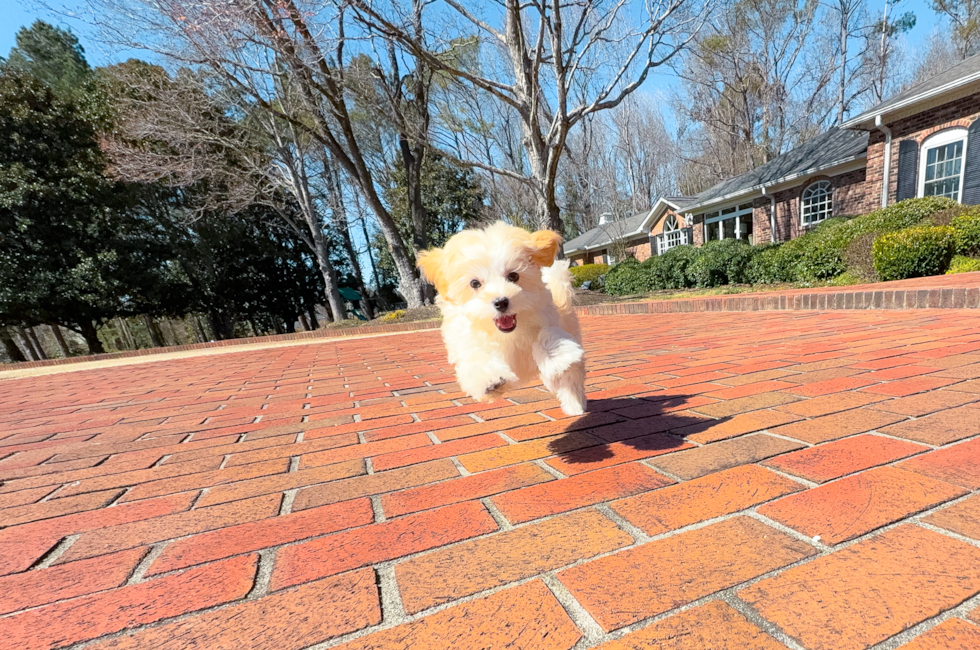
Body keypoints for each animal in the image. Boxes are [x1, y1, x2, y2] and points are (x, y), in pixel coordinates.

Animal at [418, 223, 584, 416]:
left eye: (513, 276)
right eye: (474, 283)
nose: (501, 302)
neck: (506, 333)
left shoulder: (547, 318)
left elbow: (546, 336)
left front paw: (556, 357)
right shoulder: (467, 342)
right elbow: (478, 358)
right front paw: (491, 380)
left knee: (570, 379)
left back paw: (574, 404)